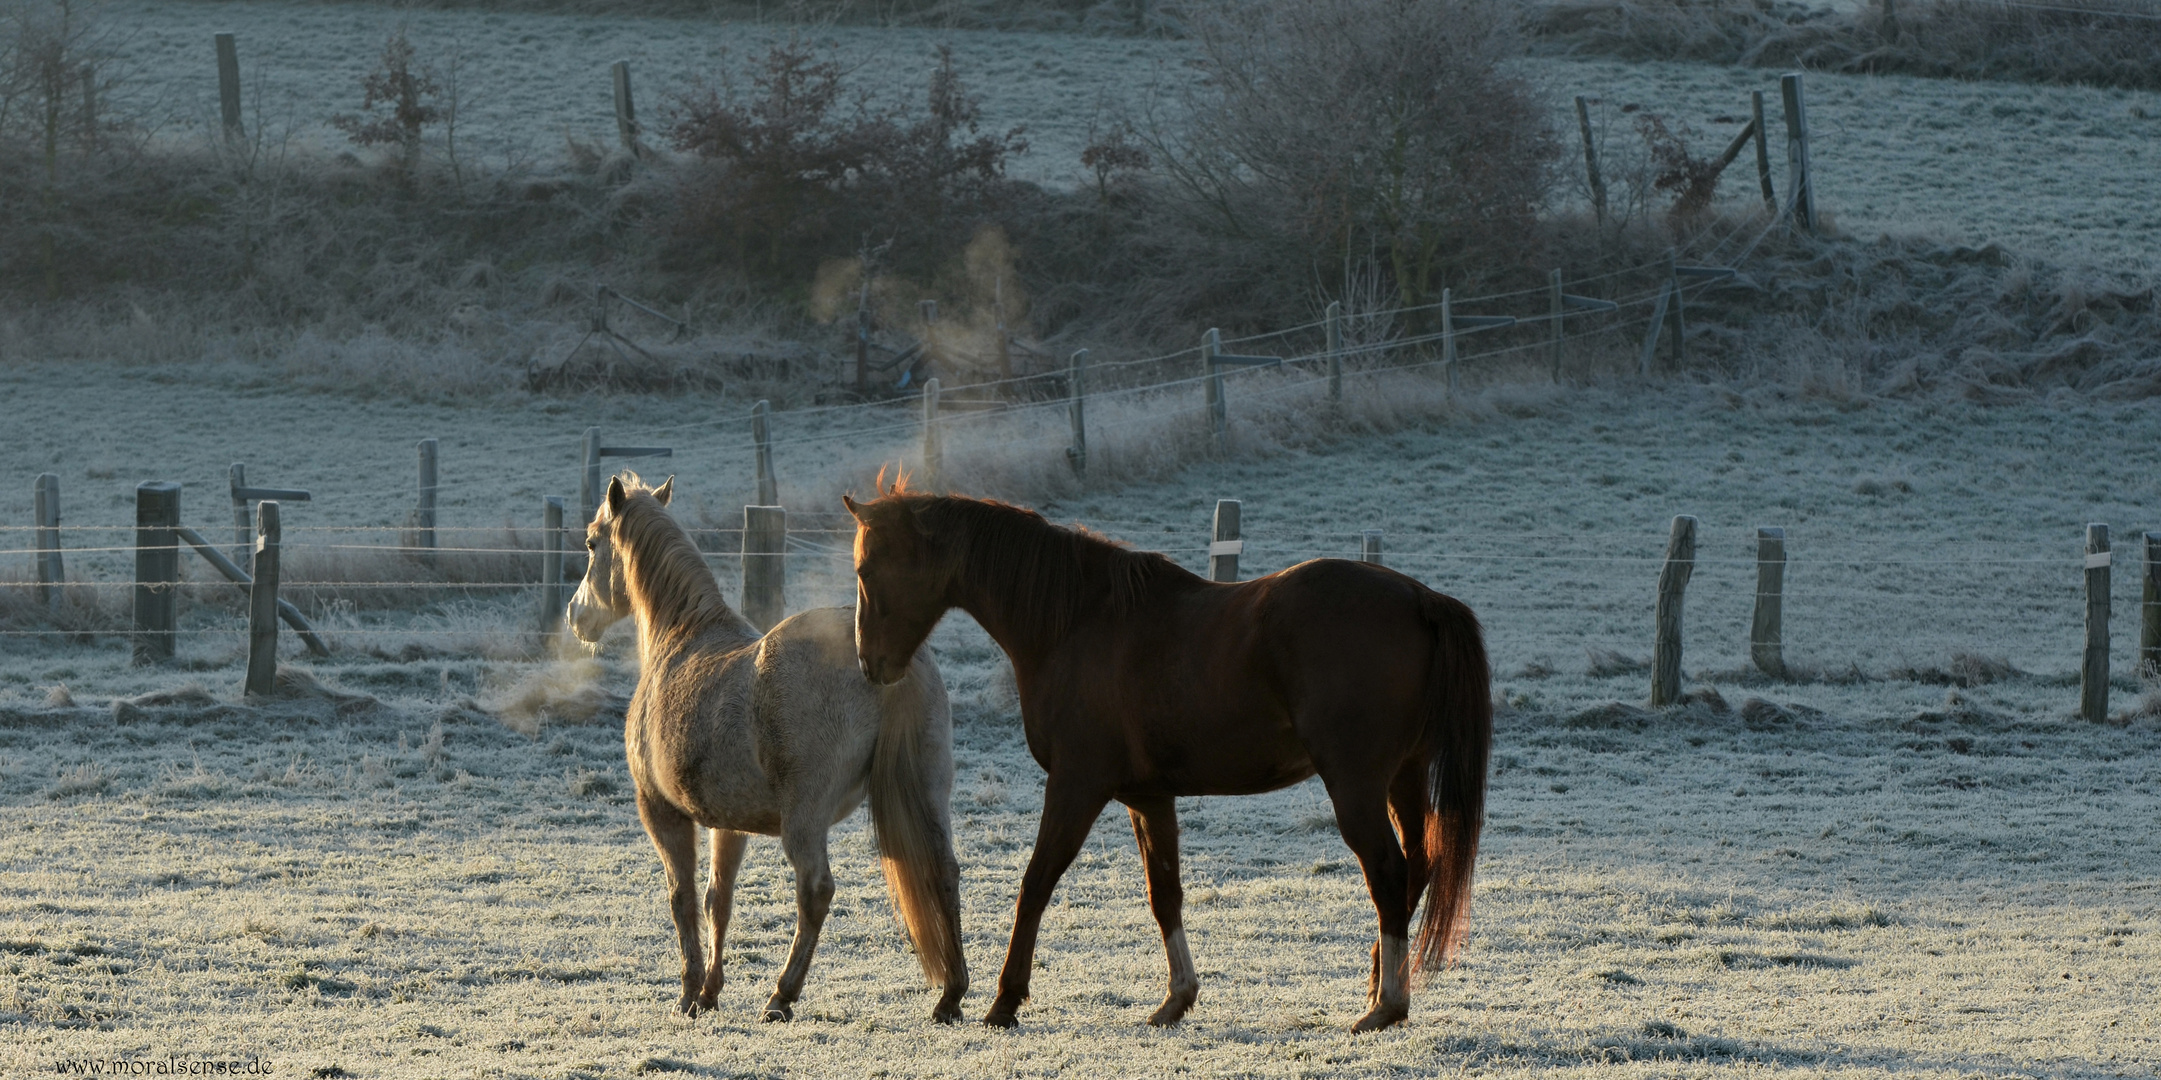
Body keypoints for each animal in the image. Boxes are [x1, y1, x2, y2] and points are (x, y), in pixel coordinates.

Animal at [566, 473, 963, 1019]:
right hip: (927, 790)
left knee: (815, 891)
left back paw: (781, 996)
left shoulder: (662, 812)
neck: (682, 638)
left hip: (805, 819)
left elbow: (681, 897)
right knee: (944, 873)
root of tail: (885, 663)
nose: (575, 615)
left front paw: (689, 993)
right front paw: (710, 991)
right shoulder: (728, 823)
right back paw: (953, 995)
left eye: (591, 543)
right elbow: (718, 899)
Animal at [842, 488, 1486, 1028]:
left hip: (1355, 783)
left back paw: (1387, 1004)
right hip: (1402, 777)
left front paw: (1005, 1000)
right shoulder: (1148, 797)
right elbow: (1164, 891)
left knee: (1389, 871)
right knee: (1420, 862)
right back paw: (1379, 981)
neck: (1078, 621)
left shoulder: (1077, 785)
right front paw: (1177, 998)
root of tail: (1419, 598)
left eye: (866, 570)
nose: (869, 663)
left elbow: (1036, 882)